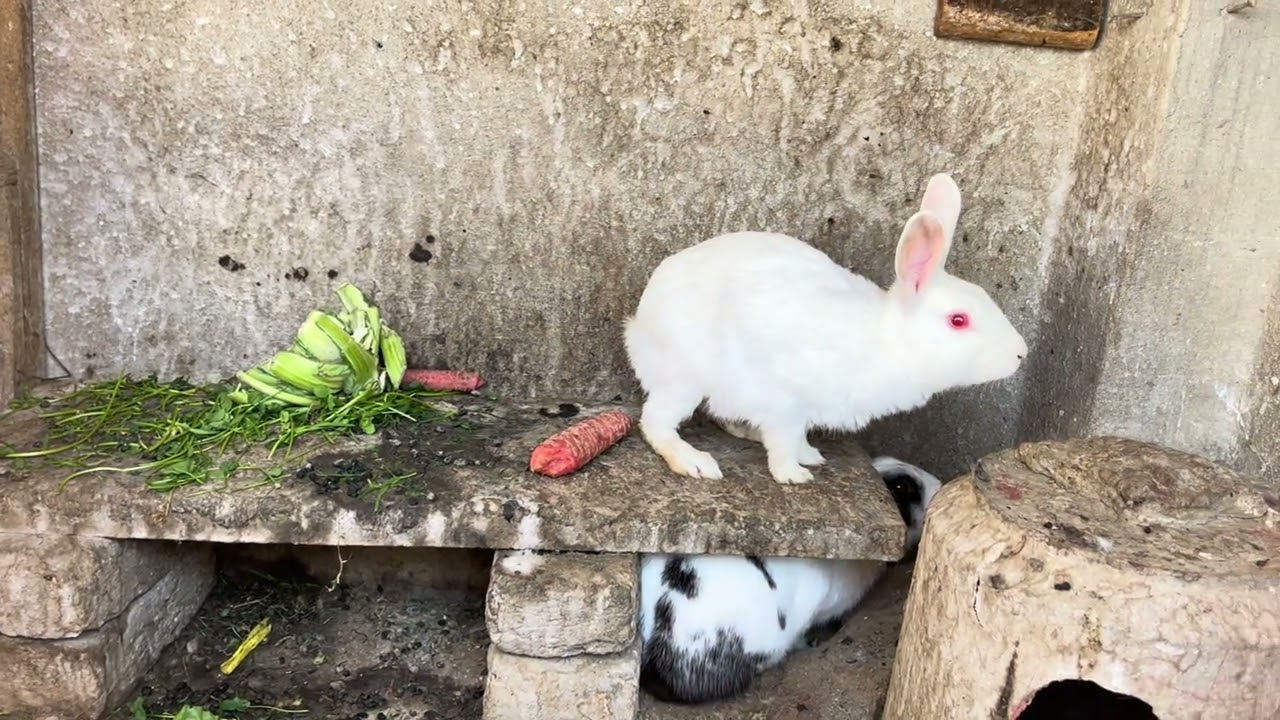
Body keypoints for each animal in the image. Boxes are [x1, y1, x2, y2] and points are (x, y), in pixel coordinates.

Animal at [622, 173, 1028, 484]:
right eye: (959, 320)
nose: (1021, 353)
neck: (886, 340)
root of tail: (640, 321)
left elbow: (798, 437)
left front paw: (811, 456)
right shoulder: (786, 401)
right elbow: (784, 441)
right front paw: (793, 475)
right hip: (684, 378)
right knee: (655, 422)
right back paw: (695, 462)